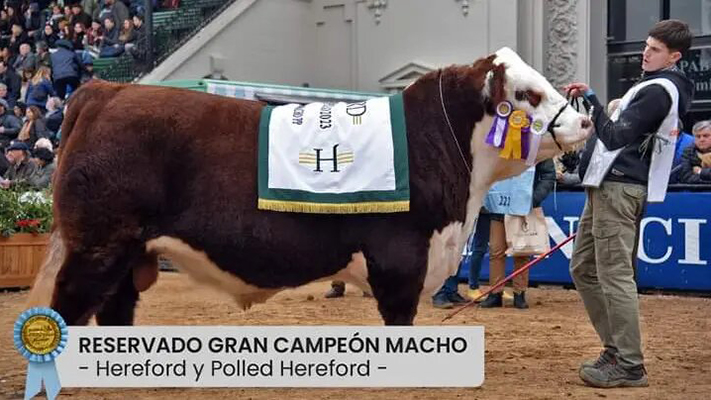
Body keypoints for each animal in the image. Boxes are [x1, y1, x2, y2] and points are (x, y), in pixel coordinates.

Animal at [27, 48, 592, 326]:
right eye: (528, 93)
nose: (585, 122)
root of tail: (106, 90)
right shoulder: (400, 262)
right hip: (98, 248)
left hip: (126, 257)